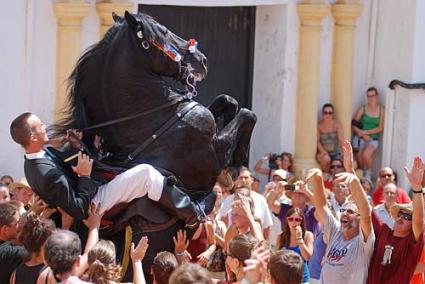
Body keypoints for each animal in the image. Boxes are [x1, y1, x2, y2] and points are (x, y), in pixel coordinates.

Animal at [53, 11, 258, 282]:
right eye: (163, 32)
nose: (202, 60)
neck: (155, 121)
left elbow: (229, 100)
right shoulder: (214, 152)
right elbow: (247, 113)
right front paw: (238, 162)